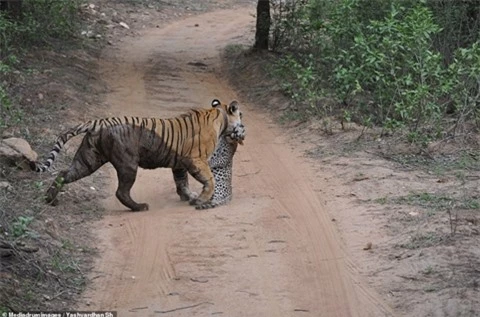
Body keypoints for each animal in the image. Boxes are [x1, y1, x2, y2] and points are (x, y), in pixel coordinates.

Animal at [30, 100, 246, 211]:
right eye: (241, 116)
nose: (244, 128)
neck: (220, 117)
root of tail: (99, 122)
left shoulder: (179, 163)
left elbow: (181, 181)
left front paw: (188, 196)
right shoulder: (195, 159)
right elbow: (209, 179)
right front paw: (201, 199)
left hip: (88, 159)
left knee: (63, 174)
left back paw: (50, 200)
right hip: (127, 165)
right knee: (121, 191)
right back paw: (139, 207)